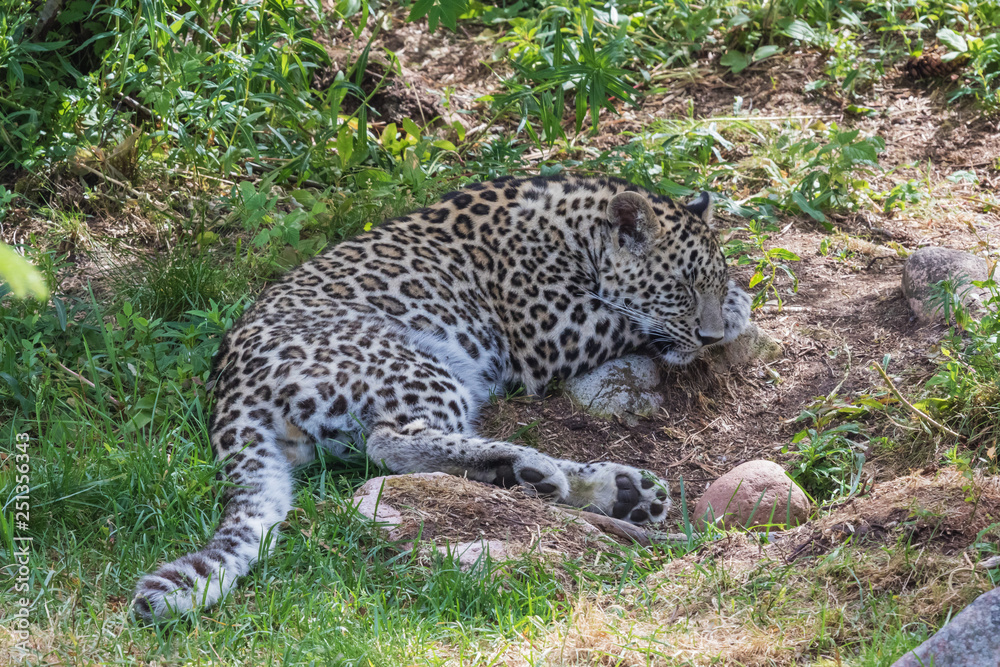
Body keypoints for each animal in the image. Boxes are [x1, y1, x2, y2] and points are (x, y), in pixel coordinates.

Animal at [132, 175, 752, 621]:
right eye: (682, 287)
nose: (710, 337)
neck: (578, 229)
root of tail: (229, 385)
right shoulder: (550, 333)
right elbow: (623, 316)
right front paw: (741, 306)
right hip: (415, 362)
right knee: (391, 443)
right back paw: (533, 468)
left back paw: (612, 489)